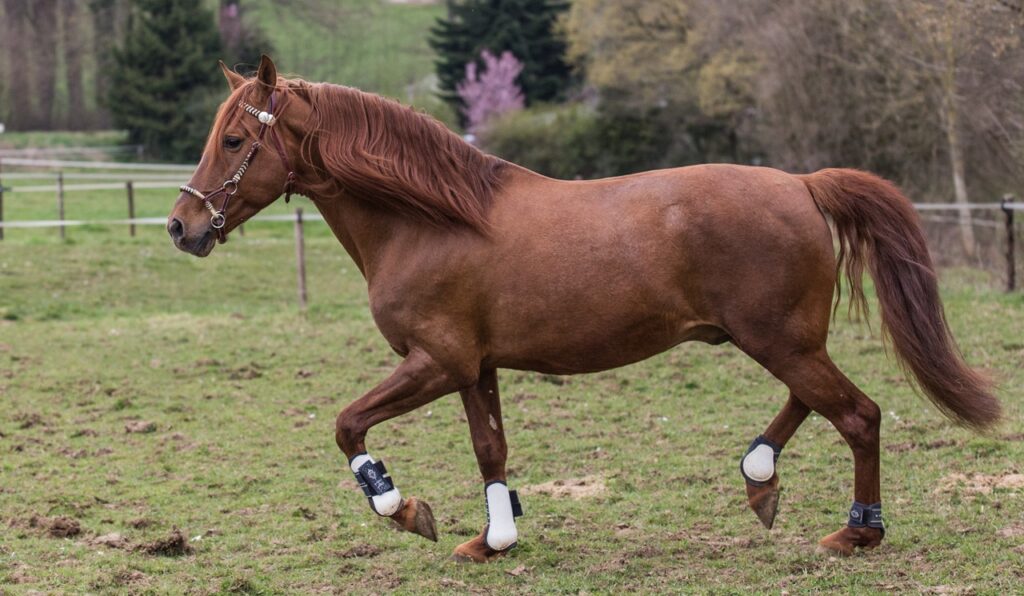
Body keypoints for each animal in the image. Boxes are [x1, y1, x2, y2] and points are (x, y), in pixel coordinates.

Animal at [167, 55, 1001, 562]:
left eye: (235, 139)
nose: (181, 226)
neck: (429, 221)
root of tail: (801, 183)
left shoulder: (435, 362)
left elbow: (347, 425)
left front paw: (402, 507)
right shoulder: (474, 367)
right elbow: (491, 449)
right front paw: (494, 540)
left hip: (780, 340)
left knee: (857, 415)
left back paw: (856, 531)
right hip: (779, 339)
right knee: (816, 403)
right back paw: (759, 475)